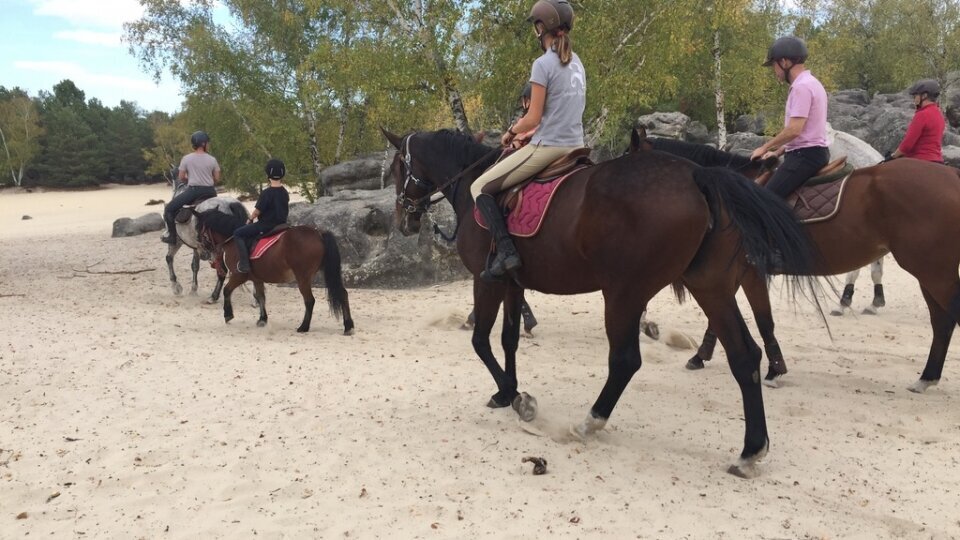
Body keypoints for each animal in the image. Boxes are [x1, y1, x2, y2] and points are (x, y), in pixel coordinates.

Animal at [193, 210, 354, 334]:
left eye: (198, 230)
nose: (202, 254)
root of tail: (318, 233)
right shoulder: (257, 279)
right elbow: (260, 297)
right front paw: (262, 319)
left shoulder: (239, 276)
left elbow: (227, 290)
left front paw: (228, 314)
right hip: (326, 272)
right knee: (342, 294)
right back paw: (348, 326)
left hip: (303, 277)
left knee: (309, 300)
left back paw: (303, 327)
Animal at [386, 129, 820, 474]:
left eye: (395, 168)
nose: (404, 220)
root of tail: (697, 174)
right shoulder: (511, 284)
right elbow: (509, 340)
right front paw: (509, 392)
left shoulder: (485, 281)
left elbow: (480, 341)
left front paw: (513, 396)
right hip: (710, 287)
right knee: (744, 356)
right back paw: (750, 451)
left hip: (624, 293)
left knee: (625, 361)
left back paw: (589, 422)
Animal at [628, 126, 960, 392]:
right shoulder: (736, 271)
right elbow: (720, 319)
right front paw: (701, 356)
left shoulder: (748, 272)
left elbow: (763, 321)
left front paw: (774, 370)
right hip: (930, 271)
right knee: (941, 320)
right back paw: (927, 376)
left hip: (932, 270)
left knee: (946, 317)